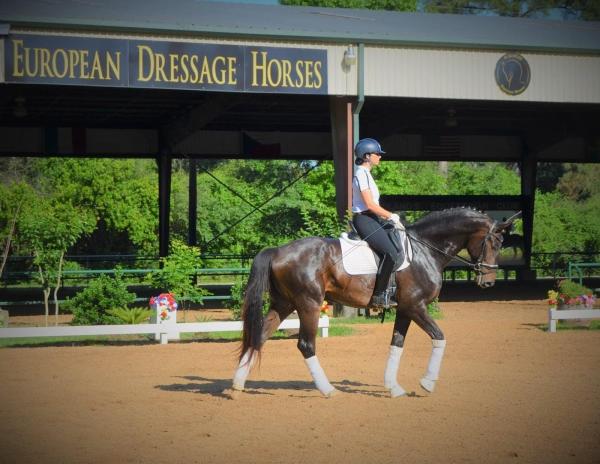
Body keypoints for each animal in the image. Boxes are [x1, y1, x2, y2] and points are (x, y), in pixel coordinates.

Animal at [230, 208, 520, 396]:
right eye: (495, 242)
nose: (488, 282)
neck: (425, 248)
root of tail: (278, 250)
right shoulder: (416, 306)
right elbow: (439, 337)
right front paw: (427, 383)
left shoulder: (405, 309)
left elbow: (397, 345)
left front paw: (394, 387)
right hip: (308, 304)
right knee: (305, 344)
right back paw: (328, 389)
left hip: (284, 304)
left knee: (260, 335)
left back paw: (237, 385)